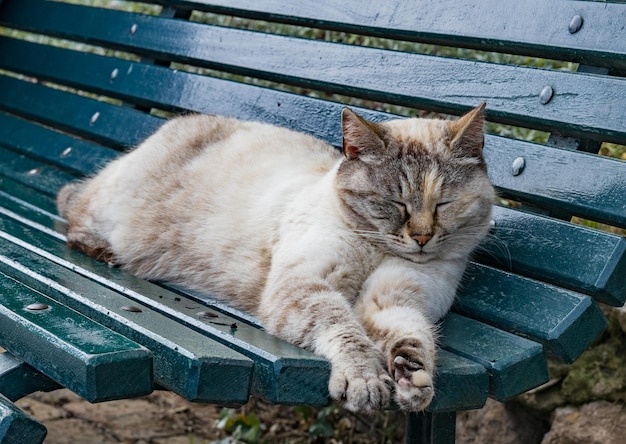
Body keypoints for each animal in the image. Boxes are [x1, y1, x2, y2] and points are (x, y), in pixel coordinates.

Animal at [56, 104, 492, 412]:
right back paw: (103, 252)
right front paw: (367, 382)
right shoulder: (305, 286)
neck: (376, 249)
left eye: (443, 204)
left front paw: (411, 380)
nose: (421, 237)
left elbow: (413, 338)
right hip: (113, 212)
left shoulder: (394, 301)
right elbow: (347, 332)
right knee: (71, 208)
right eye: (395, 203)